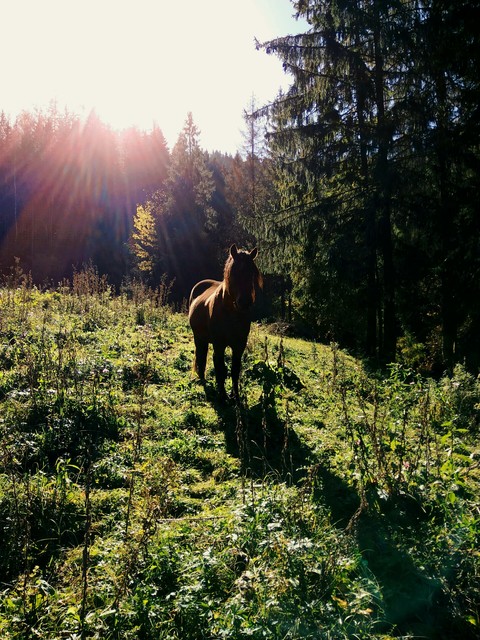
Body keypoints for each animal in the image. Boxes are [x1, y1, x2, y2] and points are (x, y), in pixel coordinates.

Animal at [188, 244, 263, 400]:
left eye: (252, 274)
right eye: (233, 273)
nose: (245, 303)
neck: (231, 313)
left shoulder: (239, 345)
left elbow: (235, 370)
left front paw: (235, 395)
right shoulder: (219, 344)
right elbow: (221, 369)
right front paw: (222, 396)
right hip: (199, 337)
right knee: (202, 356)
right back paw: (202, 379)